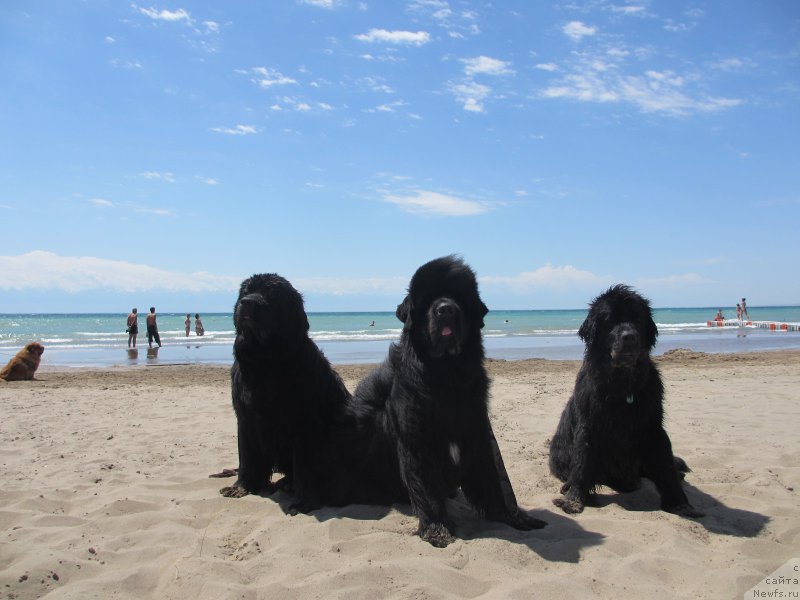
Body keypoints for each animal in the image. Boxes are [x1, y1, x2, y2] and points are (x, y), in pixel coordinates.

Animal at [219, 272, 350, 510]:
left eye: (271, 294)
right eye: (245, 292)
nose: (247, 302)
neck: (265, 362)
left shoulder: (304, 423)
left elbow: (305, 465)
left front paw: (305, 501)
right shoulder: (245, 419)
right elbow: (247, 456)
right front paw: (242, 486)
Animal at [548, 284, 704, 516]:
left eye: (637, 318)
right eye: (609, 321)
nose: (629, 336)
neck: (622, 385)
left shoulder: (653, 426)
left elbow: (666, 465)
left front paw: (679, 502)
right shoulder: (589, 427)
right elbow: (582, 463)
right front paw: (574, 499)